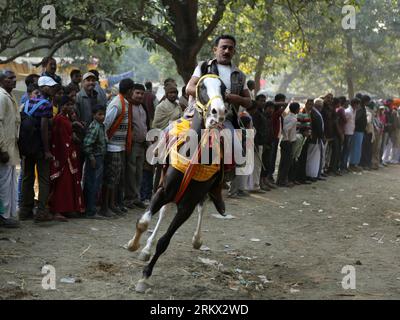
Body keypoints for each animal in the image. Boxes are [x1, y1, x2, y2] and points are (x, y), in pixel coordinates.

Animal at [128, 74, 228, 292]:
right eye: (202, 87)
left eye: (224, 88)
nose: (218, 112)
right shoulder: (163, 190)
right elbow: (143, 222)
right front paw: (134, 245)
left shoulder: (187, 204)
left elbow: (165, 241)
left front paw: (145, 277)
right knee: (163, 212)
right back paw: (145, 248)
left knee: (202, 206)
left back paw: (197, 240)